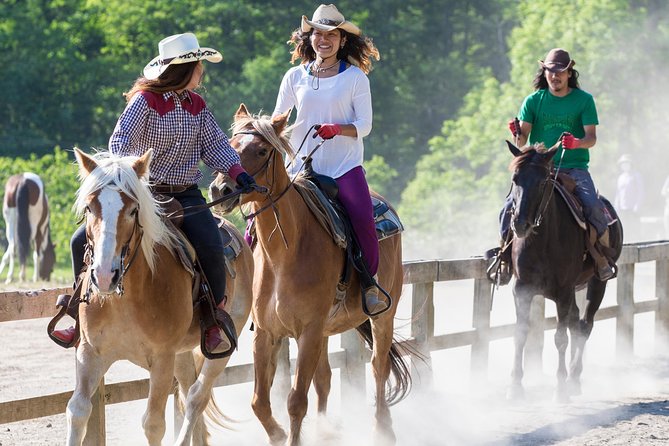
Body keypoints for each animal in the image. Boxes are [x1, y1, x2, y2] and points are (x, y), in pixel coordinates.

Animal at [66, 148, 253, 444]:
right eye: (89, 208)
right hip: (182, 354)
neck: (124, 300)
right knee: (190, 393)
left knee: (196, 398)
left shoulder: (162, 359)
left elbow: (153, 424)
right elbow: (78, 411)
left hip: (220, 346)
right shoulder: (89, 351)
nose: (105, 275)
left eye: (133, 210)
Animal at [209, 105, 410, 446]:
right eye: (230, 145)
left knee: (378, 367)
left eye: (261, 150)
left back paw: (383, 429)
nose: (220, 190)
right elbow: (260, 402)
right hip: (326, 331)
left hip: (382, 316)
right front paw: (277, 434)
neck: (286, 252)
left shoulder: (309, 331)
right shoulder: (267, 334)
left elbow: (295, 401)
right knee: (326, 379)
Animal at [506, 142, 620, 400]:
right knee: (576, 323)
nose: (520, 224)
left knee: (585, 325)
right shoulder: (522, 290)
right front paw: (516, 386)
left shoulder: (563, 291)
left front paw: (560, 388)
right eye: (515, 178)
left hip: (597, 282)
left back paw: (574, 377)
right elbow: (520, 333)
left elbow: (560, 338)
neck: (542, 240)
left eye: (541, 182)